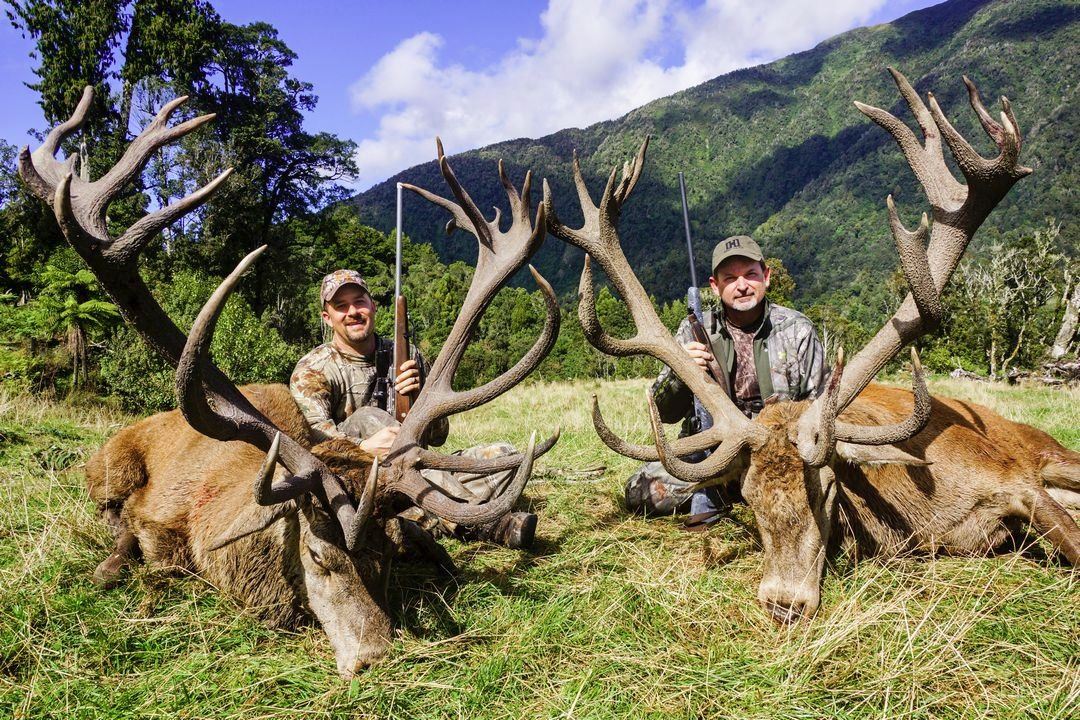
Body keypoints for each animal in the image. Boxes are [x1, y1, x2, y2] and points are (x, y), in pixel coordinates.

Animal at [19, 87, 561, 677]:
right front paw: (117, 567)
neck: (215, 527)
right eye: (318, 555)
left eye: (385, 559)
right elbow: (141, 556)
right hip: (110, 465)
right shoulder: (156, 519)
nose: (373, 653)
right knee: (107, 507)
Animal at [542, 68, 1080, 625]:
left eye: (827, 491)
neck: (920, 516)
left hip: (1048, 451)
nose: (784, 602)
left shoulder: (1016, 481)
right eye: (749, 497)